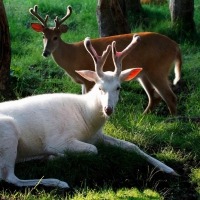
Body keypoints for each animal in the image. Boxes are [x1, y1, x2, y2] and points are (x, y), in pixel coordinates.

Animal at [0, 34, 177, 189]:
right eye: (99, 87)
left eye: (118, 87)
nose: (108, 109)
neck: (87, 122)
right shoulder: (57, 140)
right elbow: (93, 149)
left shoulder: (97, 135)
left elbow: (131, 145)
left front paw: (168, 168)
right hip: (8, 131)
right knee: (9, 177)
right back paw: (58, 181)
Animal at [29, 5, 181, 115]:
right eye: (43, 36)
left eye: (56, 37)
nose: (45, 52)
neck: (71, 56)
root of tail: (176, 46)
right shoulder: (84, 82)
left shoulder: (89, 80)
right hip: (143, 73)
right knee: (155, 97)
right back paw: (144, 116)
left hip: (158, 69)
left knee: (170, 97)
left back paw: (172, 121)